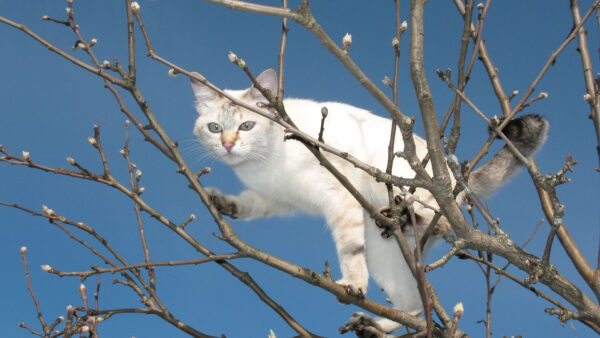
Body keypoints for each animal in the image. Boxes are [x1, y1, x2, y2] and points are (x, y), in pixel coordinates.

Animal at [191, 68, 548, 332]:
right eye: (214, 128)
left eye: (247, 125)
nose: (227, 145)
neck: (262, 165)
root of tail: (453, 174)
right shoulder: (276, 198)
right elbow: (248, 204)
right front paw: (223, 203)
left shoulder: (338, 197)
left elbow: (349, 252)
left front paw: (352, 285)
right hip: (385, 259)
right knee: (414, 308)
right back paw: (373, 324)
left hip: (414, 191)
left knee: (442, 223)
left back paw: (406, 219)